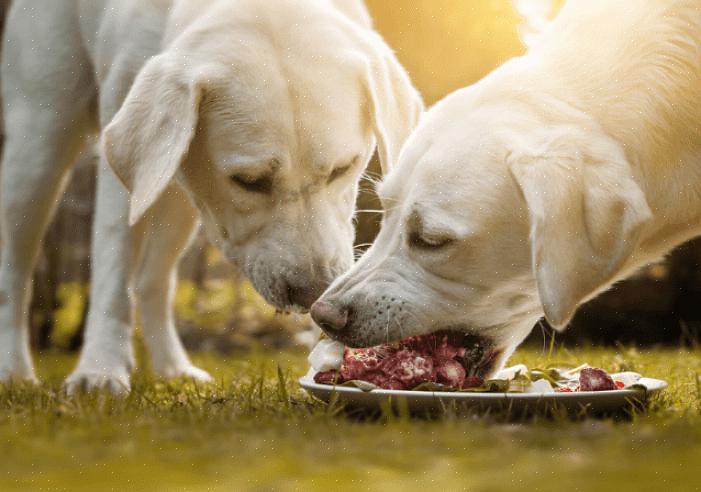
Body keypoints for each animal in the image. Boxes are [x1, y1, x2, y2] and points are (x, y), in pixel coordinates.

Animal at [0, 0, 422, 392]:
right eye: (249, 181)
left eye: (342, 168)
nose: (313, 292)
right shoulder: (124, 166)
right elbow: (112, 269)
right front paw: (100, 371)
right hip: (39, 145)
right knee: (16, 271)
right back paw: (14, 370)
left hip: (176, 196)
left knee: (153, 280)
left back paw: (173, 368)